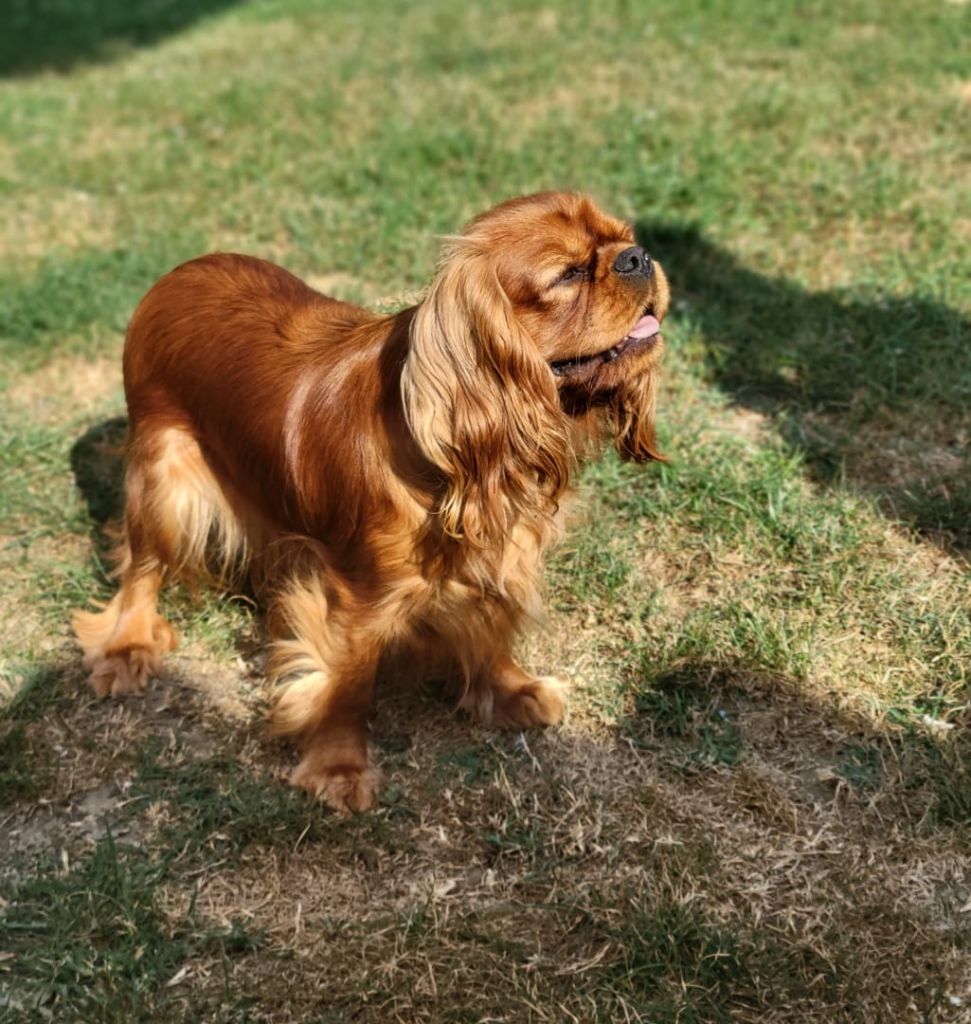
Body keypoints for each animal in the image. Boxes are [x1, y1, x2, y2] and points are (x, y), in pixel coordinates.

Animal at [73, 192, 667, 811]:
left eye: (624, 237)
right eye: (568, 274)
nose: (637, 257)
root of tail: (177, 274)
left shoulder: (500, 552)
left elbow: (489, 626)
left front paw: (511, 691)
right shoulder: (356, 596)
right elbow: (350, 682)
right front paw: (339, 768)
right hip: (165, 482)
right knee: (141, 568)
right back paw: (127, 647)